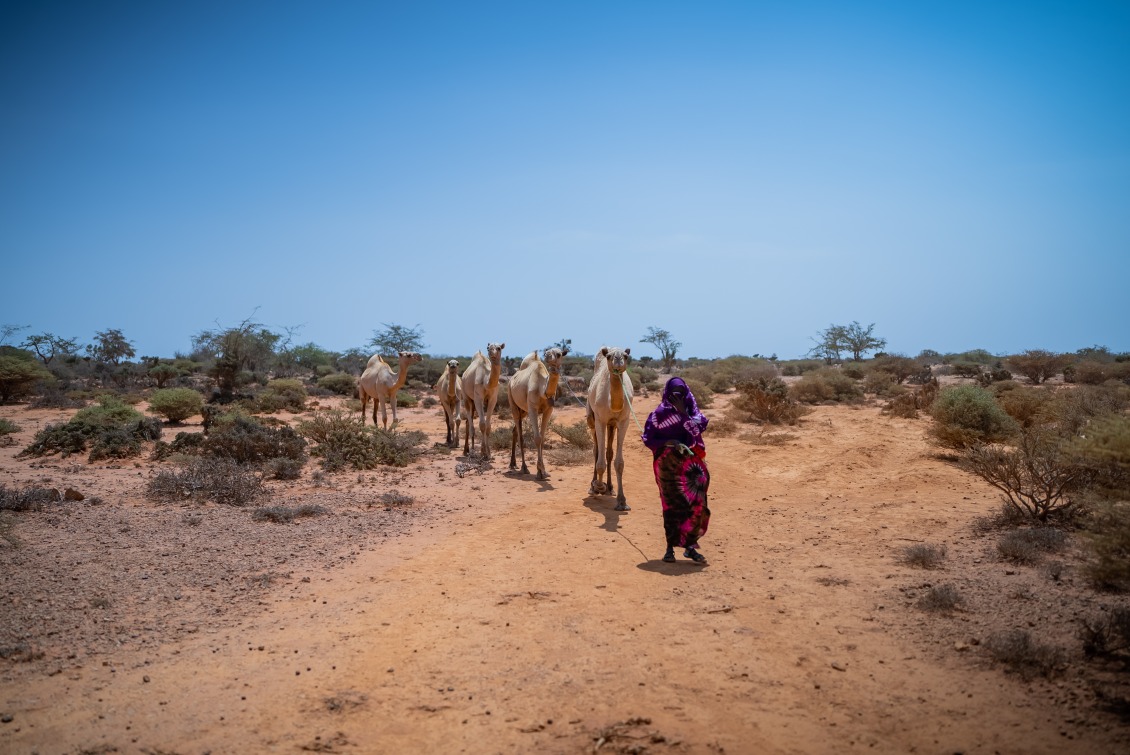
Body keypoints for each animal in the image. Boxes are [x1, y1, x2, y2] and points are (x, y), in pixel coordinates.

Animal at [510, 345, 569, 476]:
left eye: (559, 354)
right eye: (547, 351)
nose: (547, 355)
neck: (542, 389)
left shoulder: (549, 409)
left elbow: (542, 438)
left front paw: (543, 471)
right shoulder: (532, 408)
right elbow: (537, 438)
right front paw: (540, 471)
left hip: (524, 410)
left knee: (515, 430)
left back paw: (513, 464)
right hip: (513, 402)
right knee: (520, 435)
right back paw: (524, 467)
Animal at [587, 345, 632, 510]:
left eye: (626, 356)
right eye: (609, 357)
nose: (617, 359)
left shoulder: (624, 421)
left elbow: (619, 462)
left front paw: (622, 501)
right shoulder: (600, 420)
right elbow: (600, 461)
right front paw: (599, 487)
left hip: (611, 425)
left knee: (608, 453)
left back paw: (610, 487)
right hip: (591, 418)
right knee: (596, 450)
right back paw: (593, 486)